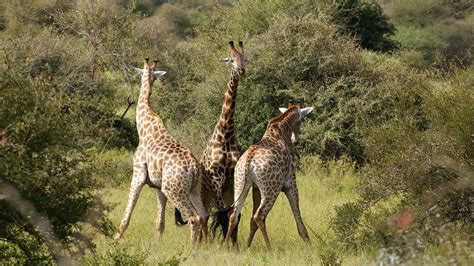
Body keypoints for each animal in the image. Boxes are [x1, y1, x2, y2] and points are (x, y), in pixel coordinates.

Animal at [115, 57, 207, 243]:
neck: (143, 126)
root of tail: (194, 168)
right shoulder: (158, 186)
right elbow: (160, 221)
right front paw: (158, 243)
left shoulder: (138, 173)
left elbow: (128, 212)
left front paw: (116, 237)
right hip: (193, 189)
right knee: (203, 215)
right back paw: (202, 244)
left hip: (174, 190)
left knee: (194, 218)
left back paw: (193, 246)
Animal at [175, 41, 246, 243]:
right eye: (231, 60)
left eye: (245, 58)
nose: (242, 70)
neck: (226, 135)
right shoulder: (216, 180)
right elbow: (221, 215)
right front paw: (220, 244)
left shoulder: (231, 182)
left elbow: (233, 215)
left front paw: (233, 245)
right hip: (204, 194)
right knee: (204, 216)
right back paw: (203, 241)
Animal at [224, 102, 312, 249]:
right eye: (300, 121)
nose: (296, 141)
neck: (280, 132)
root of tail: (248, 159)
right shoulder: (291, 184)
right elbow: (298, 216)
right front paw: (308, 243)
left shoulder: (256, 188)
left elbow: (251, 222)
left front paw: (247, 246)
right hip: (272, 190)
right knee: (259, 215)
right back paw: (270, 249)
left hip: (240, 184)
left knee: (234, 214)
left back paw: (224, 245)